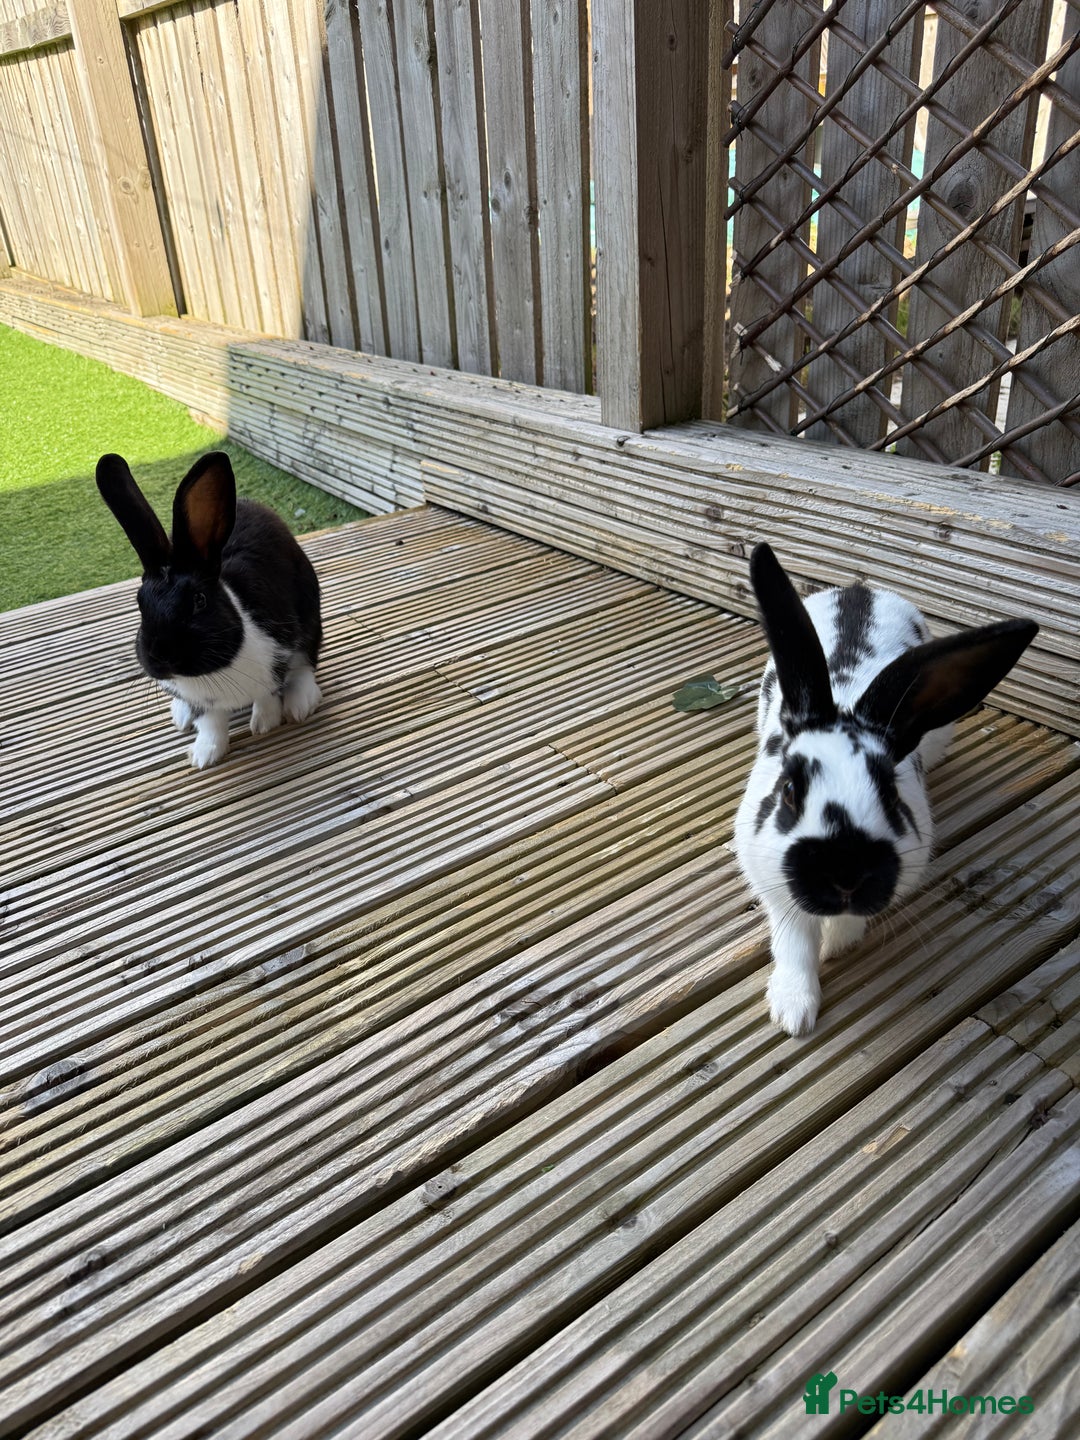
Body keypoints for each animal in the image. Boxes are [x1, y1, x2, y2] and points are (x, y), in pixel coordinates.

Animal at [97, 451, 323, 769]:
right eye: (140, 603)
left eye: (199, 600)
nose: (162, 657)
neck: (211, 673)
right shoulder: (204, 704)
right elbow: (211, 723)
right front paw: (204, 755)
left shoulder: (278, 652)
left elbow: (268, 693)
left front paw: (264, 723)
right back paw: (180, 714)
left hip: (311, 613)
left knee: (305, 663)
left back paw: (300, 703)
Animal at [733, 542, 1037, 1038]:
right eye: (790, 791)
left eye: (891, 795)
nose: (846, 874)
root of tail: (862, 591)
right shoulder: (772, 882)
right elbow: (794, 941)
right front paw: (793, 1011)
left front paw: (836, 944)